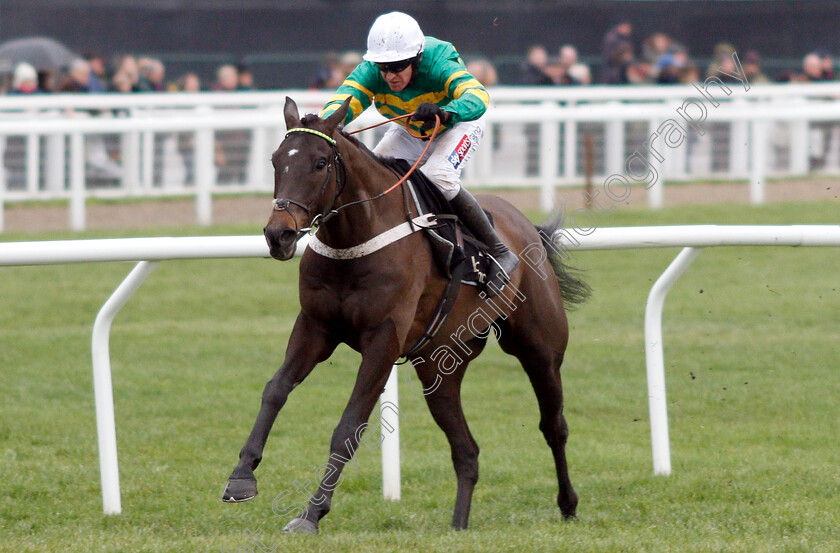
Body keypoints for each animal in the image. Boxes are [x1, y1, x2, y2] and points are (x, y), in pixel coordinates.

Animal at [223, 97, 592, 532]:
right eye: (276, 160)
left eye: (319, 163)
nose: (277, 234)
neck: (356, 239)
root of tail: (526, 227)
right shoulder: (315, 326)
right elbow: (276, 389)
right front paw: (241, 477)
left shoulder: (383, 339)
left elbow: (350, 424)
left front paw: (311, 513)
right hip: (439, 366)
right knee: (466, 450)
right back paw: (458, 525)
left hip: (540, 348)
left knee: (554, 426)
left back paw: (568, 503)